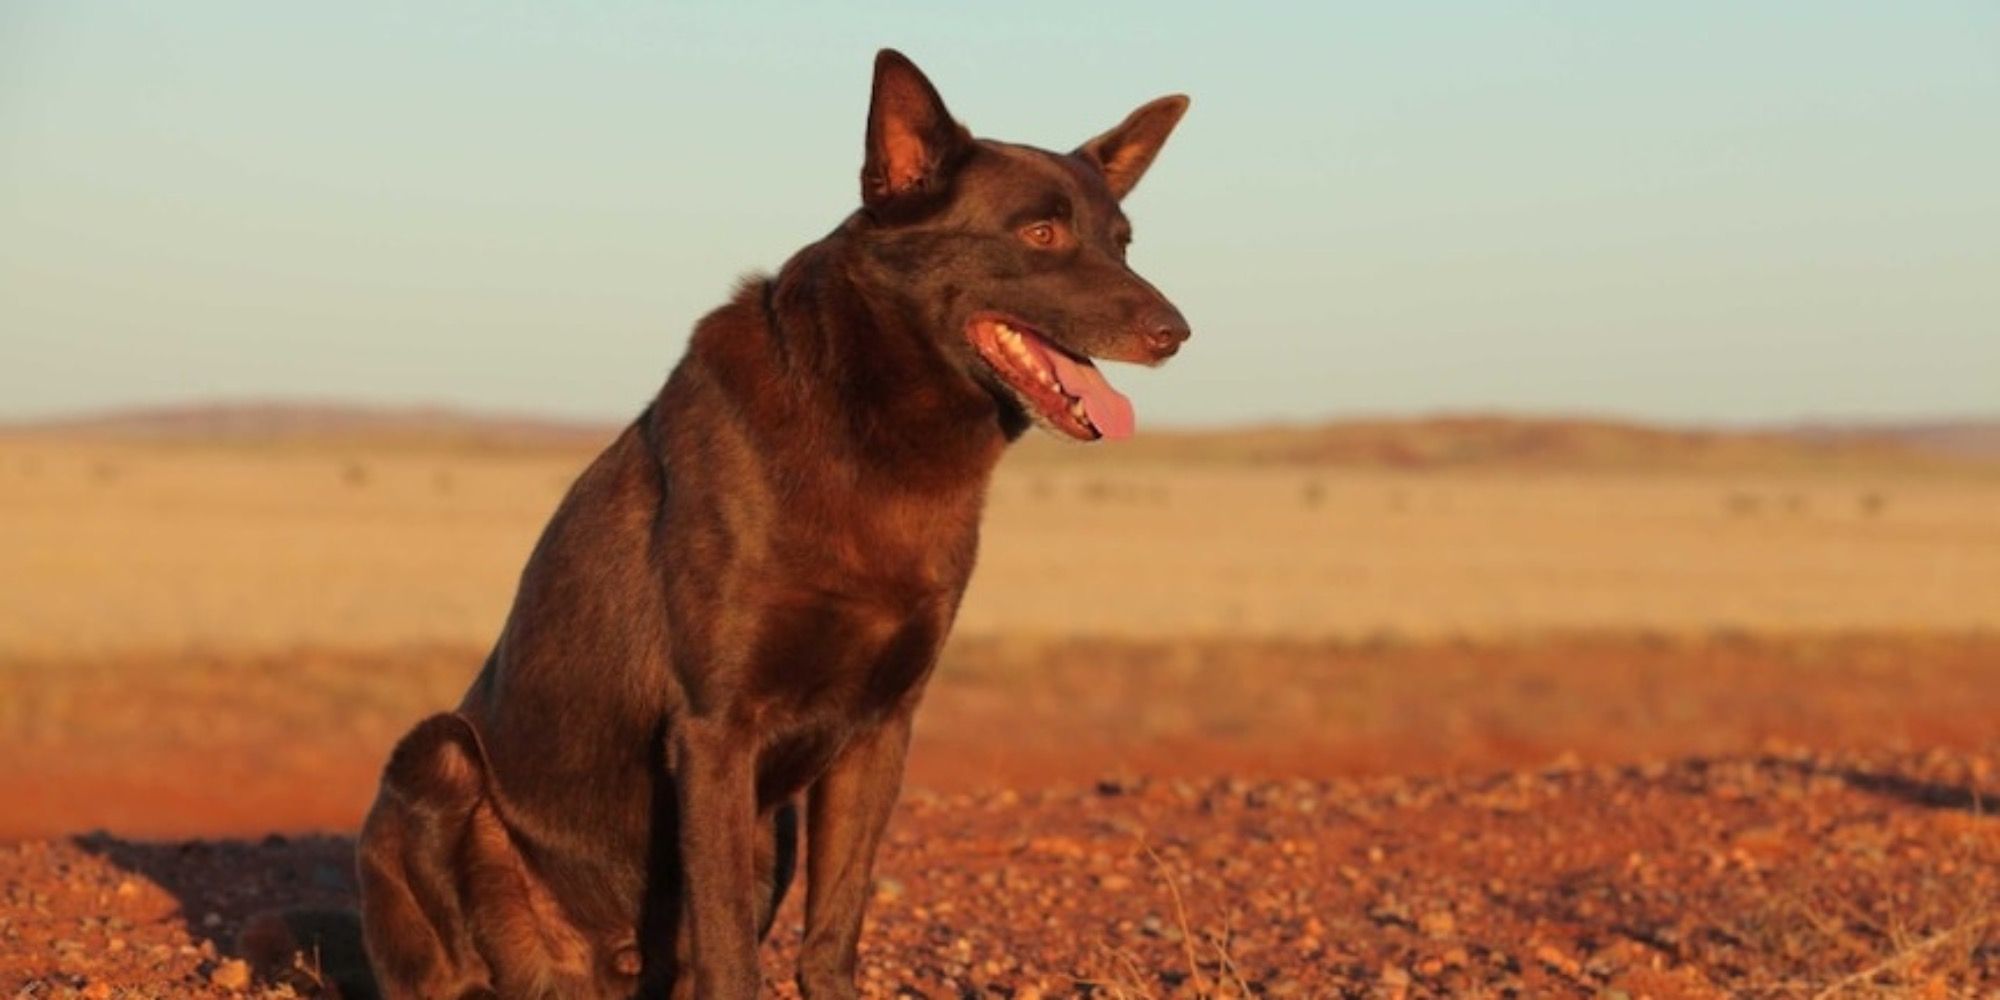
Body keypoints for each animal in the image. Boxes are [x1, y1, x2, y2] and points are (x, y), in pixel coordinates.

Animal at [354, 50, 1192, 996]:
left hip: (770, 825)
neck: (868, 434)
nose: (1176, 333)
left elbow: (833, 929)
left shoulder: (878, 732)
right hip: (436, 761)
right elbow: (728, 951)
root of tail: (594, 966)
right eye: (1041, 234)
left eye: (1123, 243)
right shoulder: (716, 733)